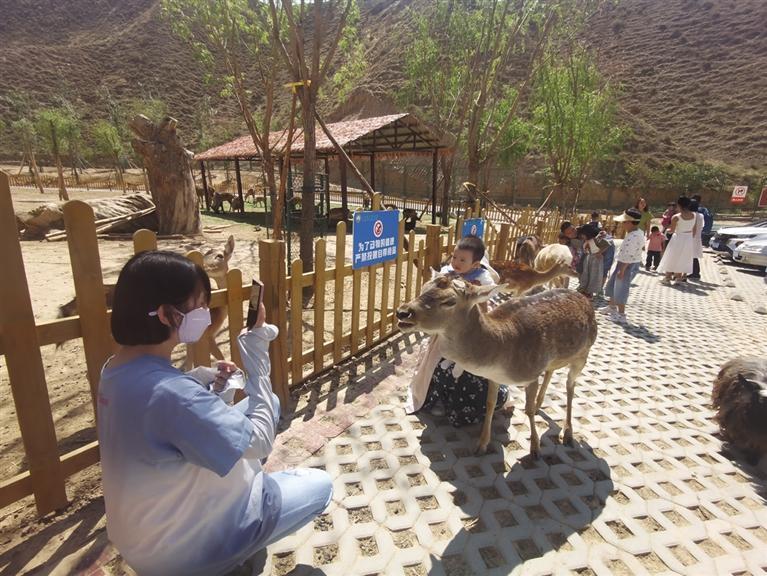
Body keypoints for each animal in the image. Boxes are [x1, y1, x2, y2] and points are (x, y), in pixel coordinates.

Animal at [59, 236, 236, 372]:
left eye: (220, 255)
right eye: (204, 254)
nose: (204, 266)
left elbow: (189, 358)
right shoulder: (207, 334)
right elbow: (219, 356)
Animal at [396, 274, 600, 460]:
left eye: (449, 301)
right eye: (423, 287)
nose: (402, 312)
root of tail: (584, 298)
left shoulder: (532, 374)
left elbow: (527, 409)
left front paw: (535, 449)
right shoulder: (494, 378)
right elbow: (490, 404)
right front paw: (481, 445)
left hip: (584, 353)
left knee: (570, 385)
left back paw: (568, 433)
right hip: (556, 359)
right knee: (551, 371)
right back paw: (540, 404)